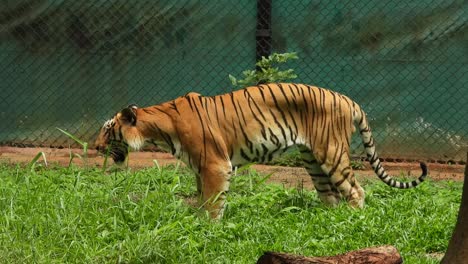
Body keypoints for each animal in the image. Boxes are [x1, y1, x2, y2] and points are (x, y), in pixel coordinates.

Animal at [95, 82, 428, 219]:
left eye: (108, 129)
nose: (96, 147)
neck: (159, 128)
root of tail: (348, 99)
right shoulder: (200, 169)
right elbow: (202, 200)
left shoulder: (215, 166)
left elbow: (213, 203)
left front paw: (208, 229)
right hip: (313, 161)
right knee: (330, 195)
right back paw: (325, 222)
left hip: (331, 152)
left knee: (356, 191)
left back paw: (353, 221)